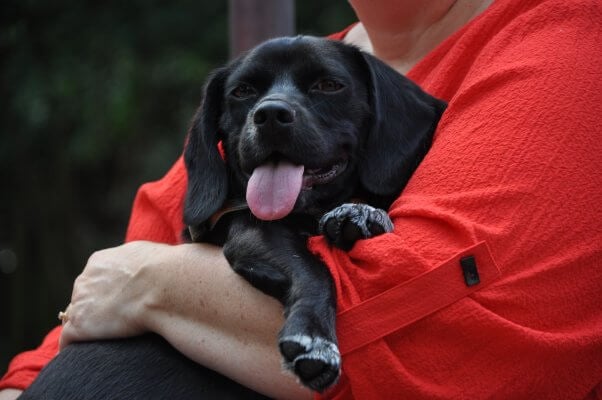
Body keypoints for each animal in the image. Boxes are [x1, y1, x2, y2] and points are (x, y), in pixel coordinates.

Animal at [21, 36, 442, 398]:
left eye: (328, 84)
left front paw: (360, 214)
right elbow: (315, 271)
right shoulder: (252, 233)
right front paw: (314, 339)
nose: (270, 114)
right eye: (242, 92)